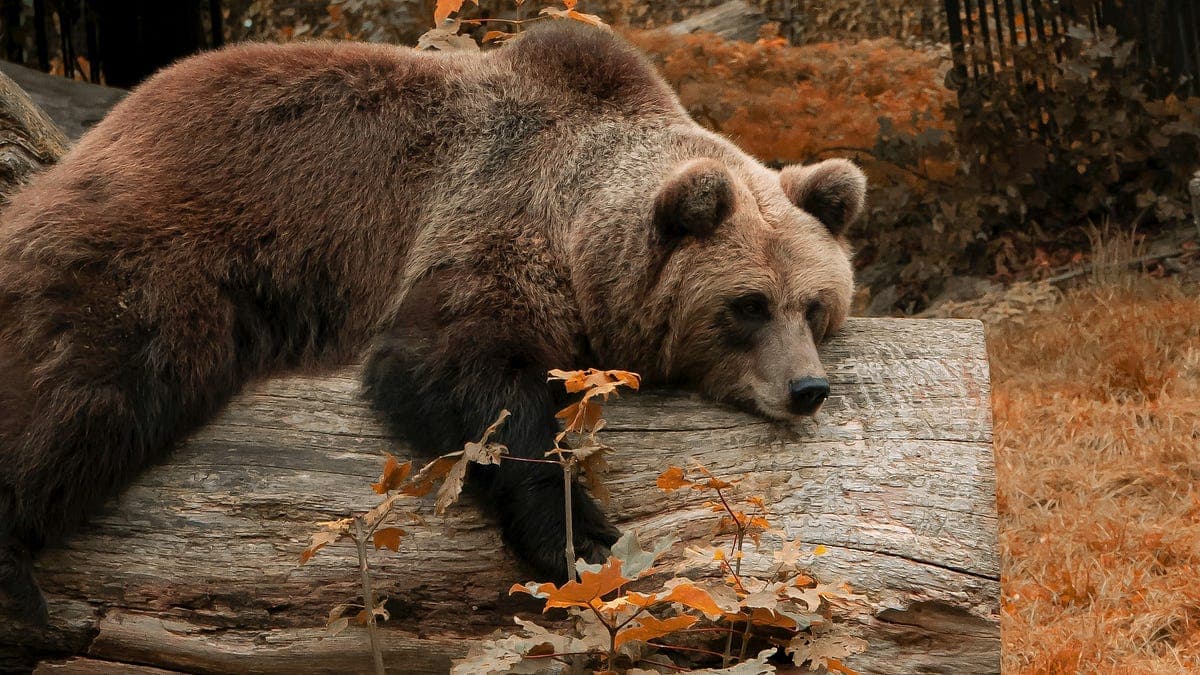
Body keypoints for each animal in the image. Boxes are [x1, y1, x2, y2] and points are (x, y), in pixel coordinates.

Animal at [0, 21, 864, 623]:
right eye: (747, 304)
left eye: (814, 304)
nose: (807, 387)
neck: (580, 227)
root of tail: (98, 134)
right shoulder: (490, 217)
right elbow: (460, 372)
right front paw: (581, 537)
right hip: (171, 246)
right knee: (89, 383)